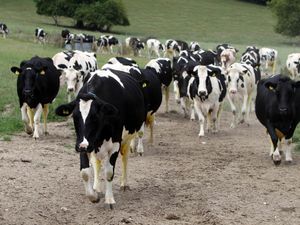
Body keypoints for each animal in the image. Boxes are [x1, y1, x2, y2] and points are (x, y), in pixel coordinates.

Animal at [55, 69, 147, 207]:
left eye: (95, 117)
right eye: (75, 117)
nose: (83, 145)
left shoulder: (115, 144)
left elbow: (109, 172)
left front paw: (109, 199)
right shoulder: (83, 144)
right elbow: (85, 172)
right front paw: (93, 196)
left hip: (127, 138)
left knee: (125, 157)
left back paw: (124, 184)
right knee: (96, 163)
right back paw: (96, 187)